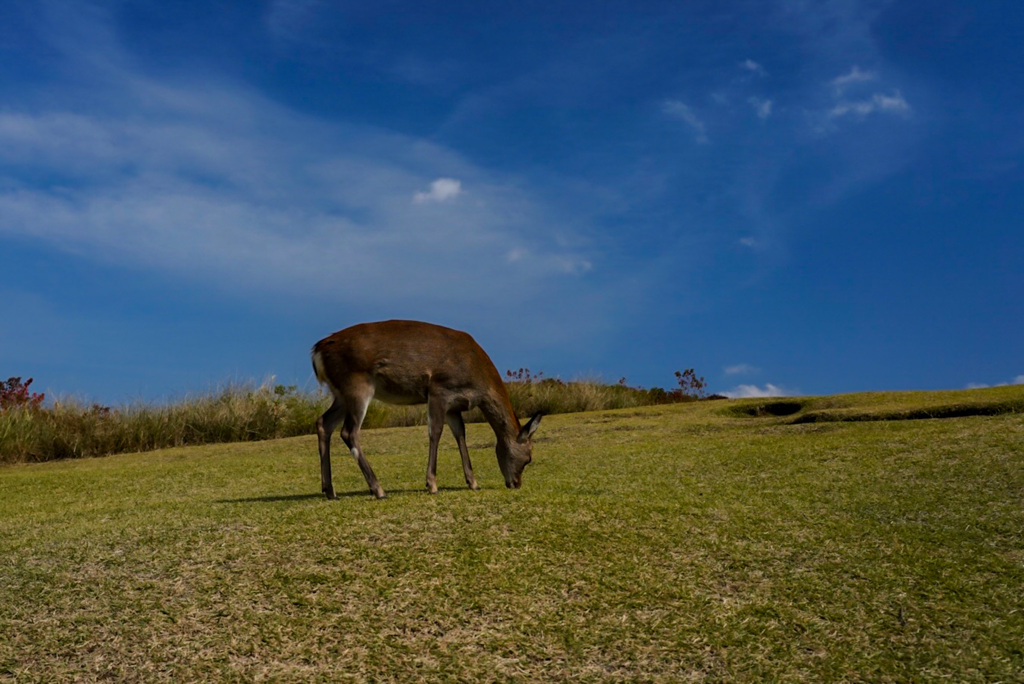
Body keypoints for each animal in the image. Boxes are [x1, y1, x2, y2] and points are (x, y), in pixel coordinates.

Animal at [309, 321, 544, 497]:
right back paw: (378, 489)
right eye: (529, 458)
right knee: (349, 431)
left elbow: (460, 434)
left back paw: (329, 490)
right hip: (357, 385)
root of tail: (317, 351)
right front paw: (432, 484)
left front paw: (473, 482)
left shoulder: (454, 405)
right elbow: (435, 432)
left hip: (340, 394)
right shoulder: (439, 389)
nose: (515, 484)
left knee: (323, 422)